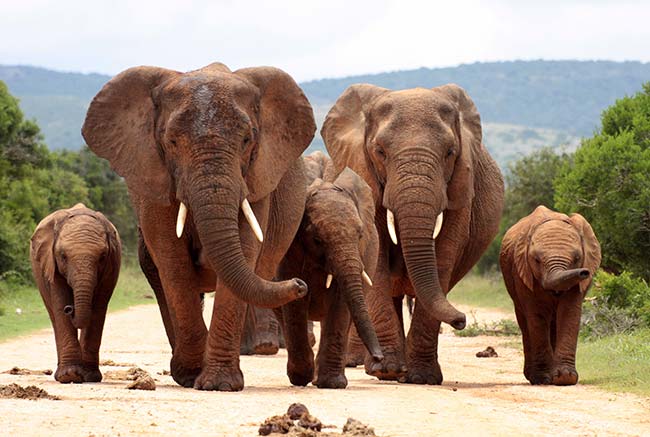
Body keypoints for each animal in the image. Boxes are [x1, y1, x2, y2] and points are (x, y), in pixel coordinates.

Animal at [28, 204, 121, 382]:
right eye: (63, 256)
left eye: (102, 257)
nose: (70, 309)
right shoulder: (51, 263)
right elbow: (59, 303)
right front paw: (69, 376)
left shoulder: (111, 267)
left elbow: (98, 308)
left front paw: (89, 376)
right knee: (53, 315)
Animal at [82, 60, 316, 388]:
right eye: (171, 142)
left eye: (247, 140)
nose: (300, 284)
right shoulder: (153, 178)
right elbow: (172, 260)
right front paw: (192, 374)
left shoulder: (256, 178)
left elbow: (245, 250)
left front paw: (219, 384)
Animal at [276, 151, 382, 388]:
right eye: (317, 239)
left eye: (360, 235)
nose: (379, 358)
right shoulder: (289, 249)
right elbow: (295, 302)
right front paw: (301, 378)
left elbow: (340, 300)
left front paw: (332, 383)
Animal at [322, 82, 504, 382]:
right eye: (380, 151)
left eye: (450, 152)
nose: (462, 320)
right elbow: (378, 257)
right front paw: (388, 371)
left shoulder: (461, 187)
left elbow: (444, 254)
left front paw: (422, 378)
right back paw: (380, 367)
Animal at [498, 205, 600, 384]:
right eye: (537, 260)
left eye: (577, 258)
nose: (584, 272)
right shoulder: (523, 272)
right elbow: (537, 315)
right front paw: (543, 379)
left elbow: (569, 313)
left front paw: (565, 378)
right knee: (525, 322)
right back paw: (533, 377)